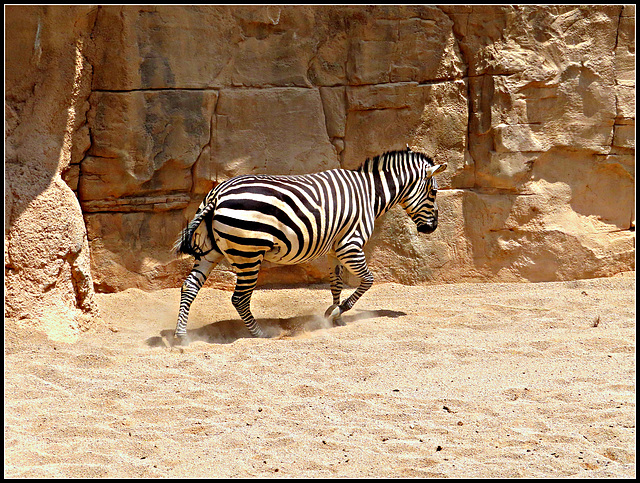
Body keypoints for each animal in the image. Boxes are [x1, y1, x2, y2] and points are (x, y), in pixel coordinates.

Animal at [172, 147, 448, 340]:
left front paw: (332, 316)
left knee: (189, 286)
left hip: (211, 250)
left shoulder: (335, 249)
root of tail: (217, 193)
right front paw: (340, 310)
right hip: (248, 253)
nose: (432, 228)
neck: (370, 194)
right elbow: (368, 280)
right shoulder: (350, 245)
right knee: (239, 298)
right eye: (434, 192)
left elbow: (336, 283)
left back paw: (181, 336)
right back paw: (261, 335)